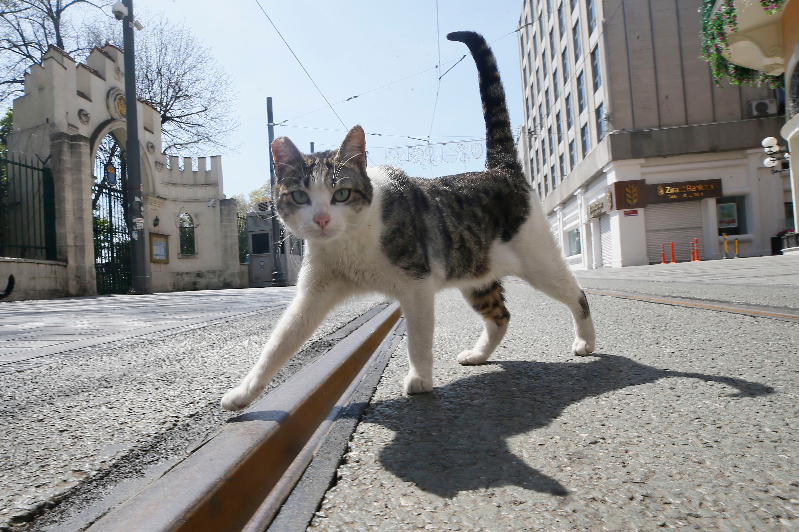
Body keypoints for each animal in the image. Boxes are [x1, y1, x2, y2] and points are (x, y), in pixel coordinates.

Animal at [222, 30, 596, 412]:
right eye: (300, 196)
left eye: (341, 193)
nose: (322, 219)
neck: (350, 244)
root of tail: (501, 169)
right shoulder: (314, 294)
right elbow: (280, 342)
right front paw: (244, 392)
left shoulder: (417, 284)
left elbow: (417, 338)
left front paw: (419, 379)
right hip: (475, 273)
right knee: (501, 316)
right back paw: (478, 354)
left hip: (538, 261)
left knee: (576, 293)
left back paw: (586, 342)